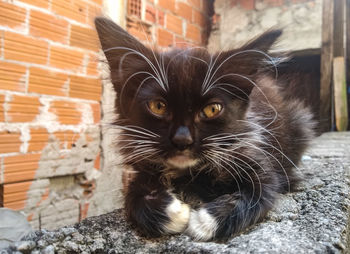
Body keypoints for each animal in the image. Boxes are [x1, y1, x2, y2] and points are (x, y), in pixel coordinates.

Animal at [94, 17, 316, 240]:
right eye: (158, 106)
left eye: (212, 109)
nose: (182, 140)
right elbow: (132, 193)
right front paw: (171, 214)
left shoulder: (257, 151)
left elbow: (263, 190)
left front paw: (204, 222)